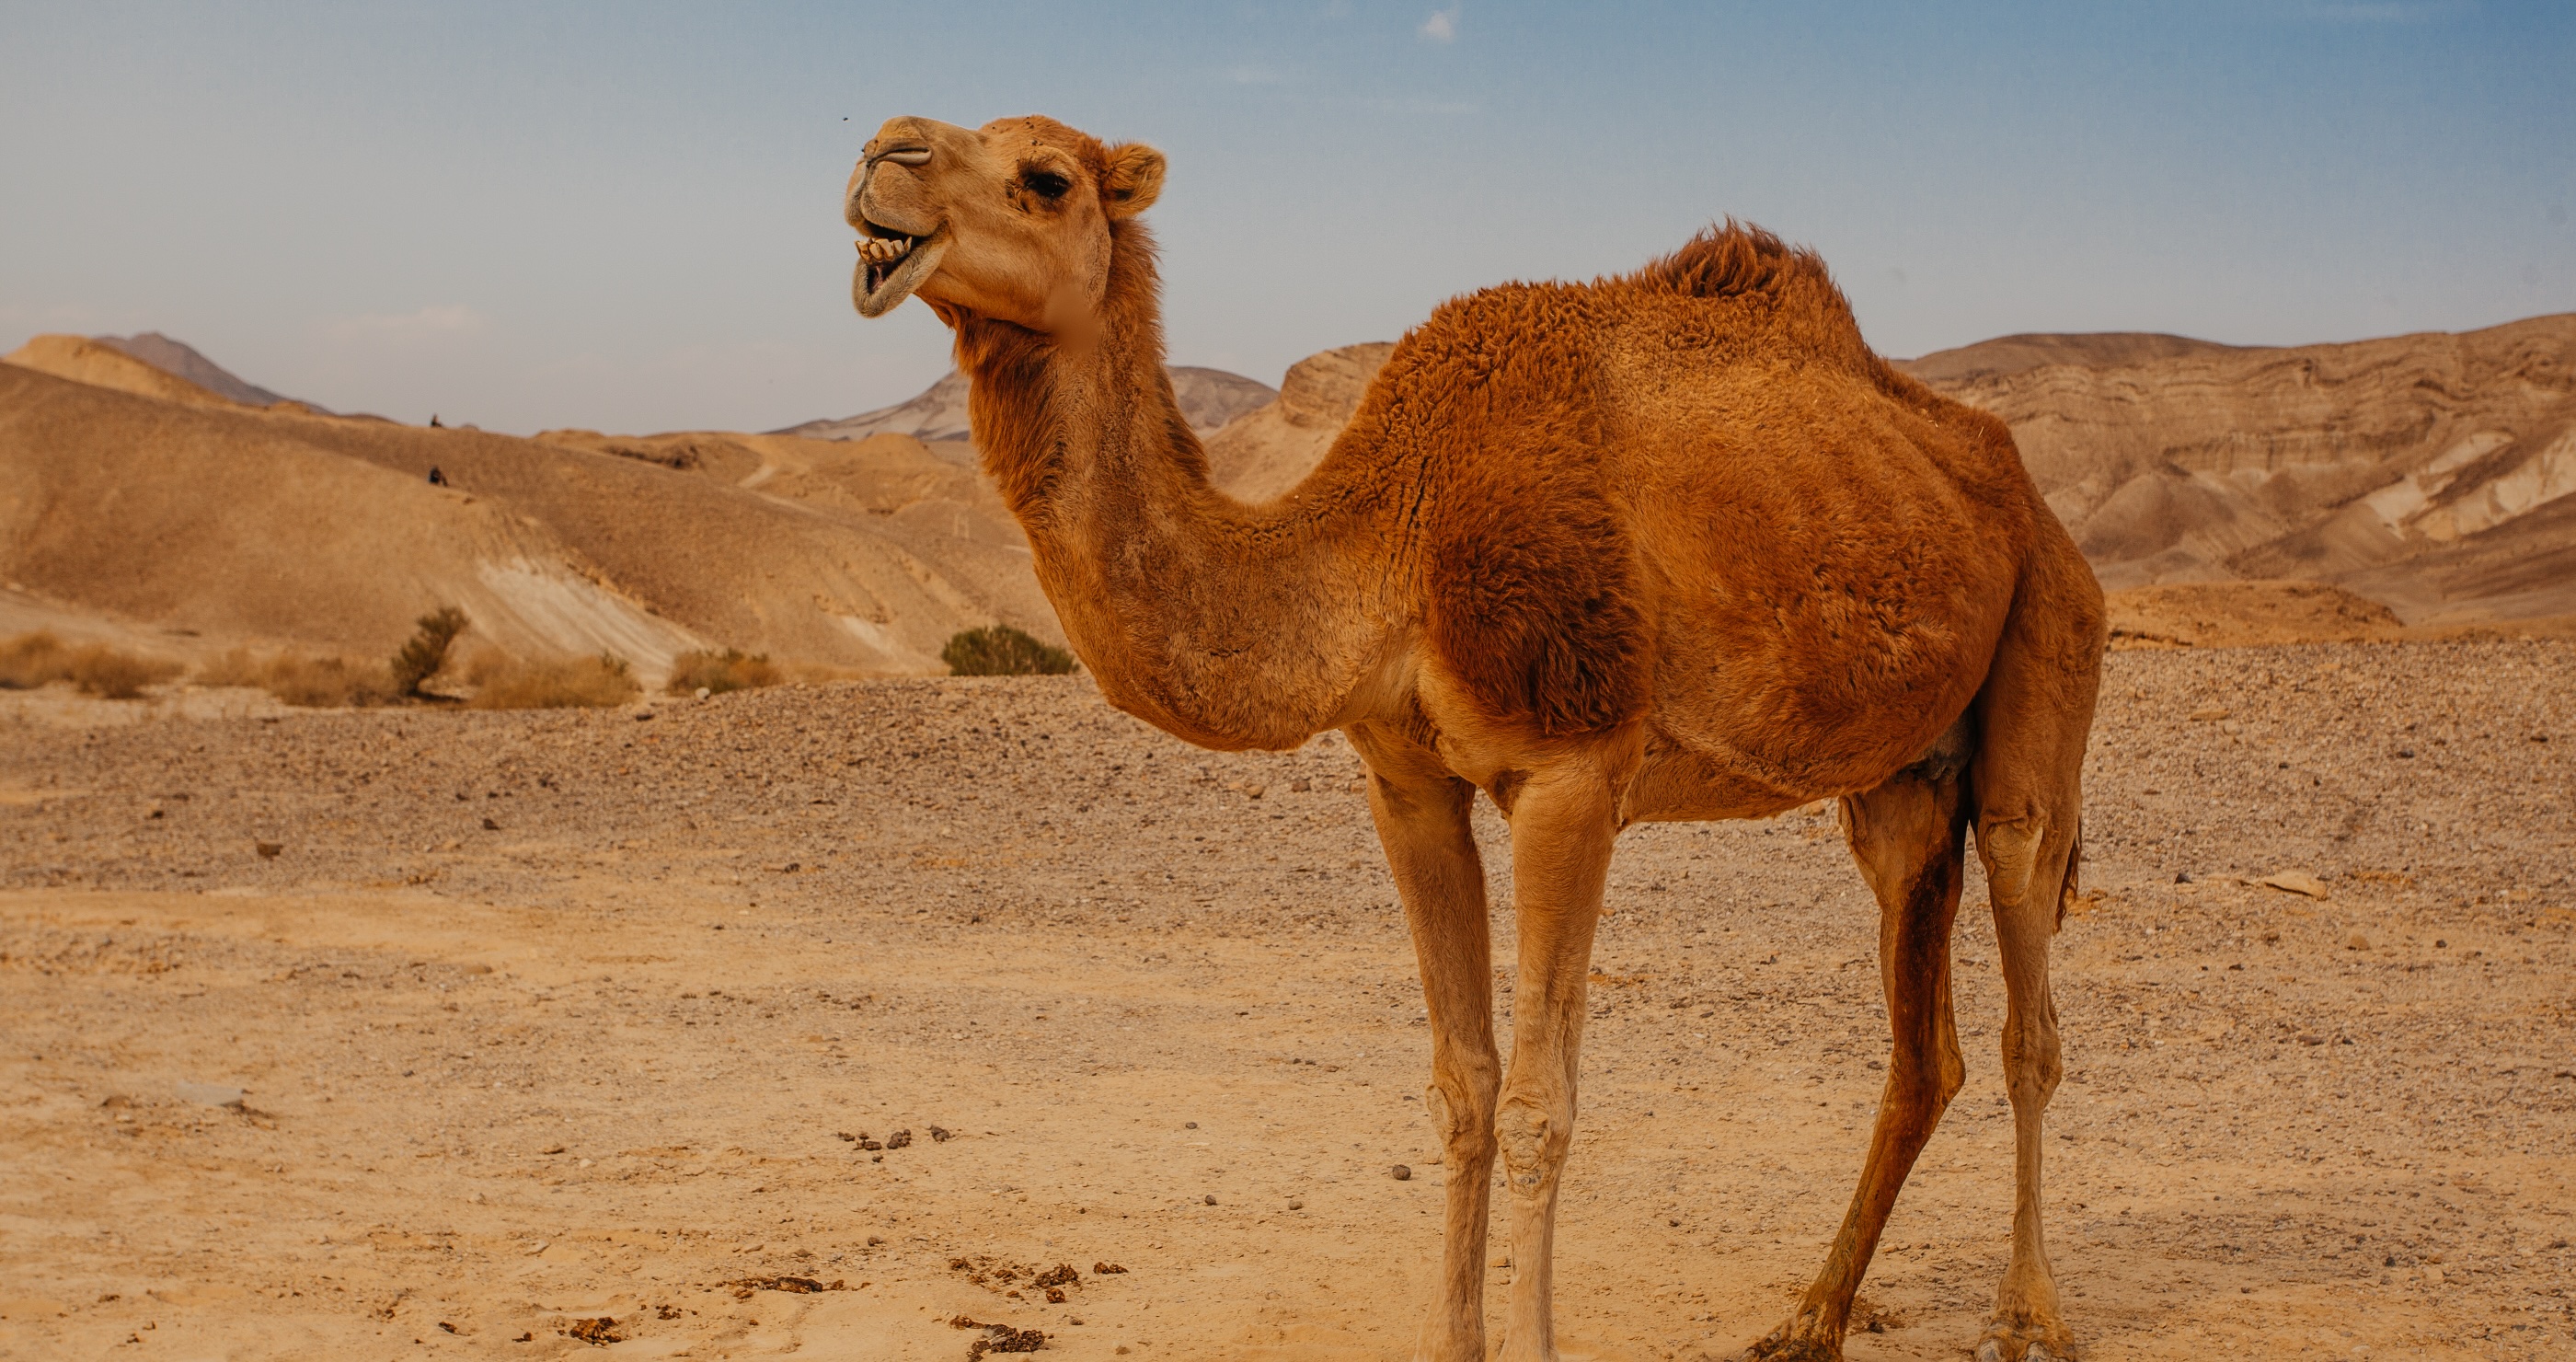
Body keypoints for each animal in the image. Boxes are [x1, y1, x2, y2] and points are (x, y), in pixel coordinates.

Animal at [843, 115, 2106, 1362]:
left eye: (1046, 178)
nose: (880, 156)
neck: (1390, 543)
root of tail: (2020, 491)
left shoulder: (1573, 768)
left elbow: (1539, 1100)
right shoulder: (1406, 781)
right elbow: (1461, 1083)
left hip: (2046, 644)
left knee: (2027, 996)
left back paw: (2029, 1315)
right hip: (1898, 784)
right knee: (1921, 1044)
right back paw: (1810, 1316)